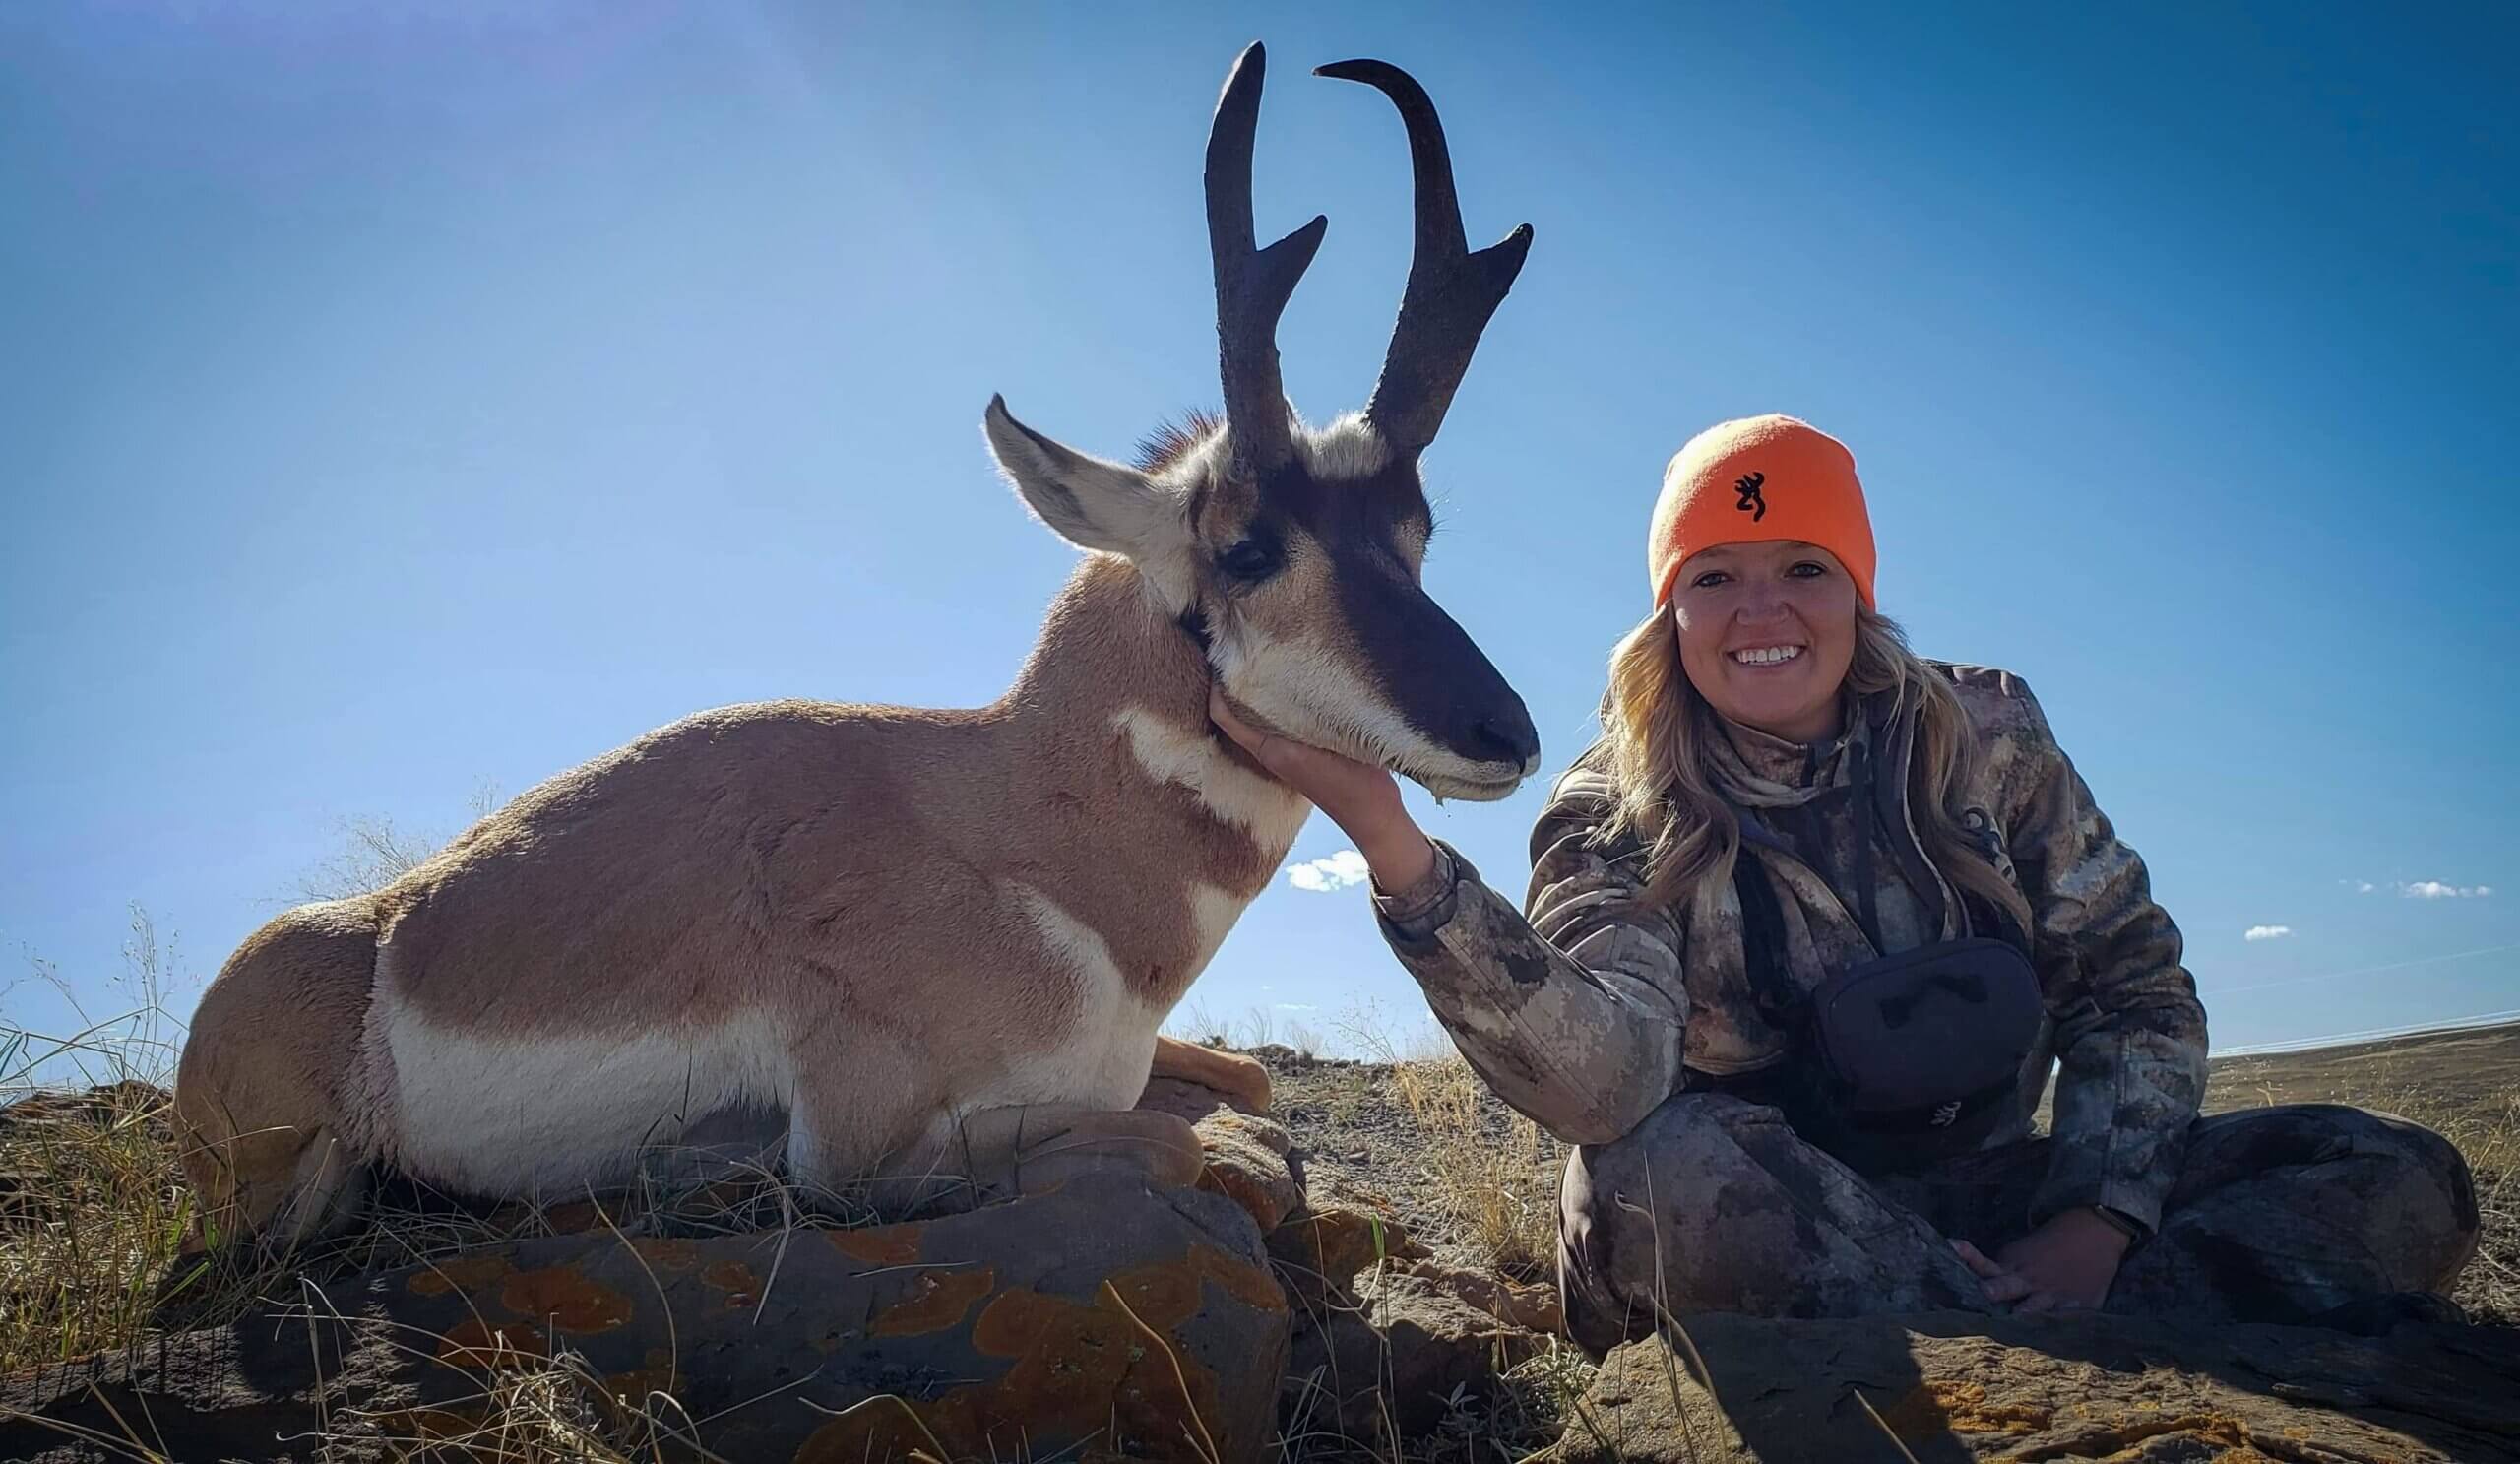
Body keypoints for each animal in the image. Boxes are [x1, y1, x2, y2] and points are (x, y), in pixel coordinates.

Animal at [174, 43, 1540, 1251]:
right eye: (1248, 544)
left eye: (1416, 532)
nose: (1508, 736)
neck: (1020, 829)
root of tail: (369, 925)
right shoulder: (860, 1148)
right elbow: (1172, 1141)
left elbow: (1246, 1089)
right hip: (289, 1181)